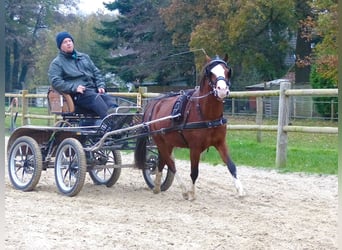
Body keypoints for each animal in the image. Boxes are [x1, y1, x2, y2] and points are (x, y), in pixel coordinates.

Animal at [135, 54, 244, 199]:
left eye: (227, 71)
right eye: (210, 73)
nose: (222, 90)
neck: (206, 115)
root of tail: (153, 104)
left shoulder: (220, 143)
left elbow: (231, 166)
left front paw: (240, 190)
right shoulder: (195, 147)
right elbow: (194, 172)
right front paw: (192, 194)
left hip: (167, 142)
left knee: (162, 161)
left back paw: (157, 187)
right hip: (159, 140)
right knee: (171, 164)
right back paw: (184, 190)